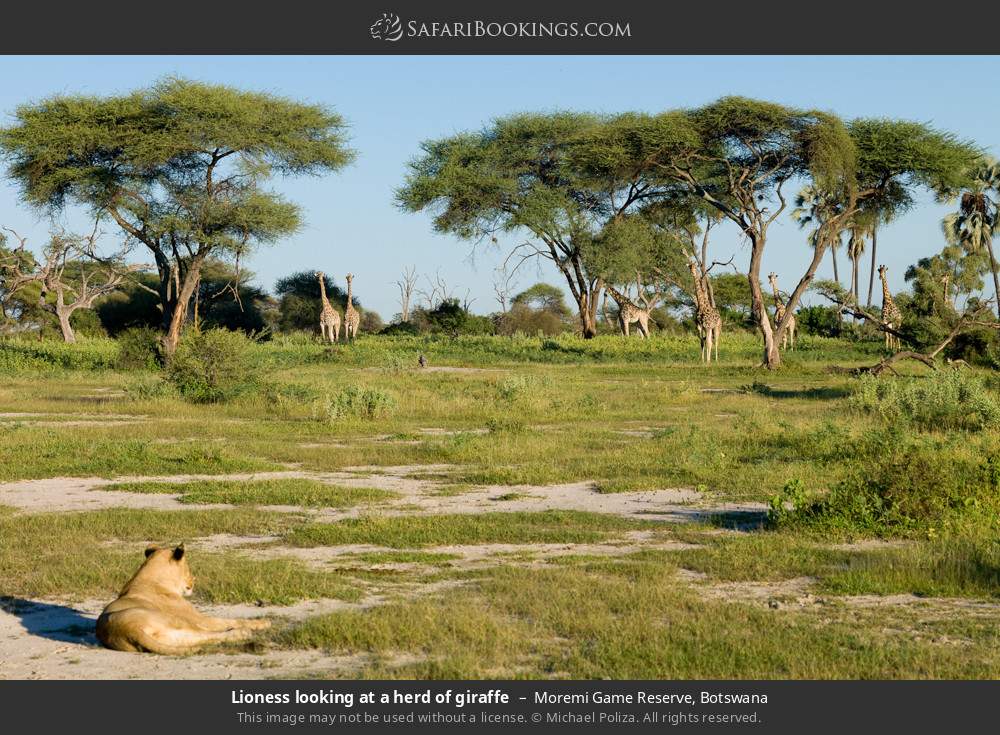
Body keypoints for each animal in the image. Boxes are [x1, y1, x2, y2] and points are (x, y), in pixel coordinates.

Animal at [96, 544, 271, 655]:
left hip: (174, 637)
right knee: (208, 634)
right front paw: (261, 622)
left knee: (202, 639)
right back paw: (243, 632)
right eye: (188, 568)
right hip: (179, 621)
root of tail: (127, 630)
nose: (194, 581)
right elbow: (231, 620)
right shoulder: (199, 618)